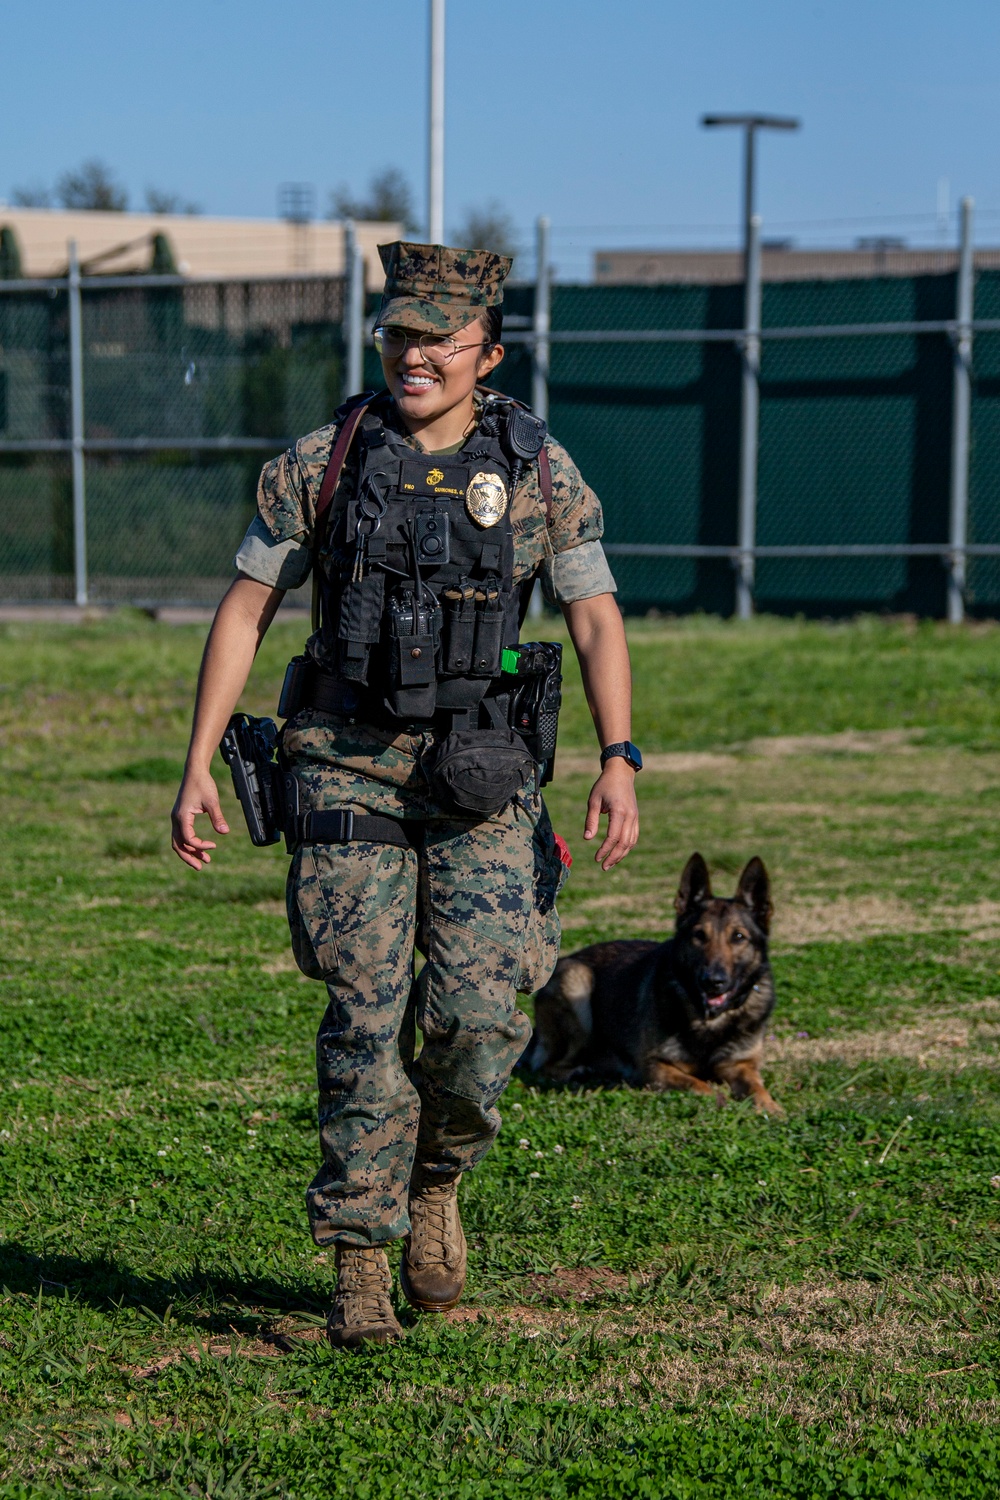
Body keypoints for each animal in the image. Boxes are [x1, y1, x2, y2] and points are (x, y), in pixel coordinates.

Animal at [524, 858, 779, 1116]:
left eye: (738, 937)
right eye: (699, 935)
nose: (713, 982)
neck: (709, 1021)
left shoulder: (741, 1065)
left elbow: (756, 1087)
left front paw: (772, 1107)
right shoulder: (653, 1066)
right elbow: (697, 1083)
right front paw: (718, 1099)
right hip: (577, 982)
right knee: (546, 1065)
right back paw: (579, 1072)